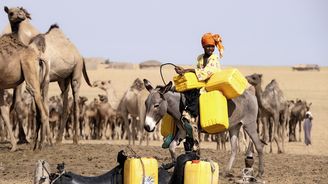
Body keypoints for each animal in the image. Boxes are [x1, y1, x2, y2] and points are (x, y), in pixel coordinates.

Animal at [4, 5, 92, 144]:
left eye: (21, 10)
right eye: (11, 12)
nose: (21, 16)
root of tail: (80, 55)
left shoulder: (45, 80)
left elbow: (45, 105)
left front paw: (45, 140)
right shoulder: (36, 80)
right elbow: (37, 108)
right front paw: (40, 139)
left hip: (76, 70)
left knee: (75, 101)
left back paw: (75, 140)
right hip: (63, 80)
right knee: (65, 102)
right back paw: (58, 139)